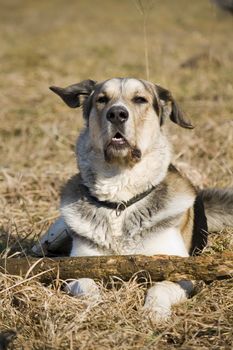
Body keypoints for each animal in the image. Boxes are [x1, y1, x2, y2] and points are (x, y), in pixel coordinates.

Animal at [46, 78, 233, 322]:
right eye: (102, 99)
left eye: (140, 99)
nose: (117, 114)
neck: (120, 200)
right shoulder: (78, 269)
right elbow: (86, 285)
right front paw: (95, 306)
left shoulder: (181, 272)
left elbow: (159, 287)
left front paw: (154, 313)